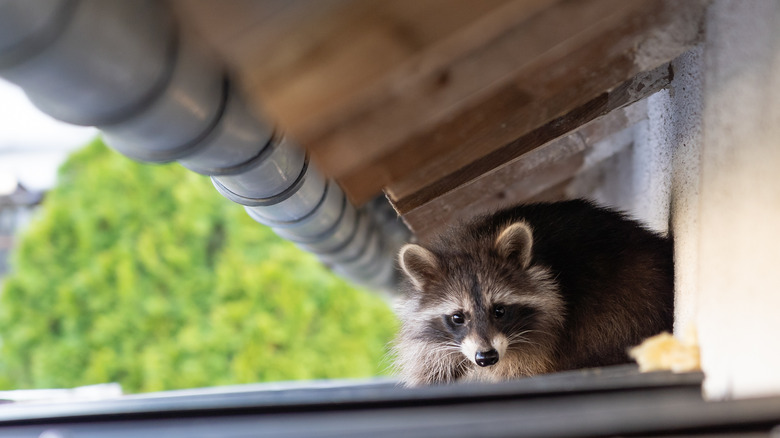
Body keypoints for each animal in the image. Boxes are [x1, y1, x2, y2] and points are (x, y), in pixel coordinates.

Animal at [394, 199, 672, 386]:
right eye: (457, 317)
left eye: (499, 311)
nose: (486, 357)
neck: (471, 243)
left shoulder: (544, 338)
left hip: (628, 297)